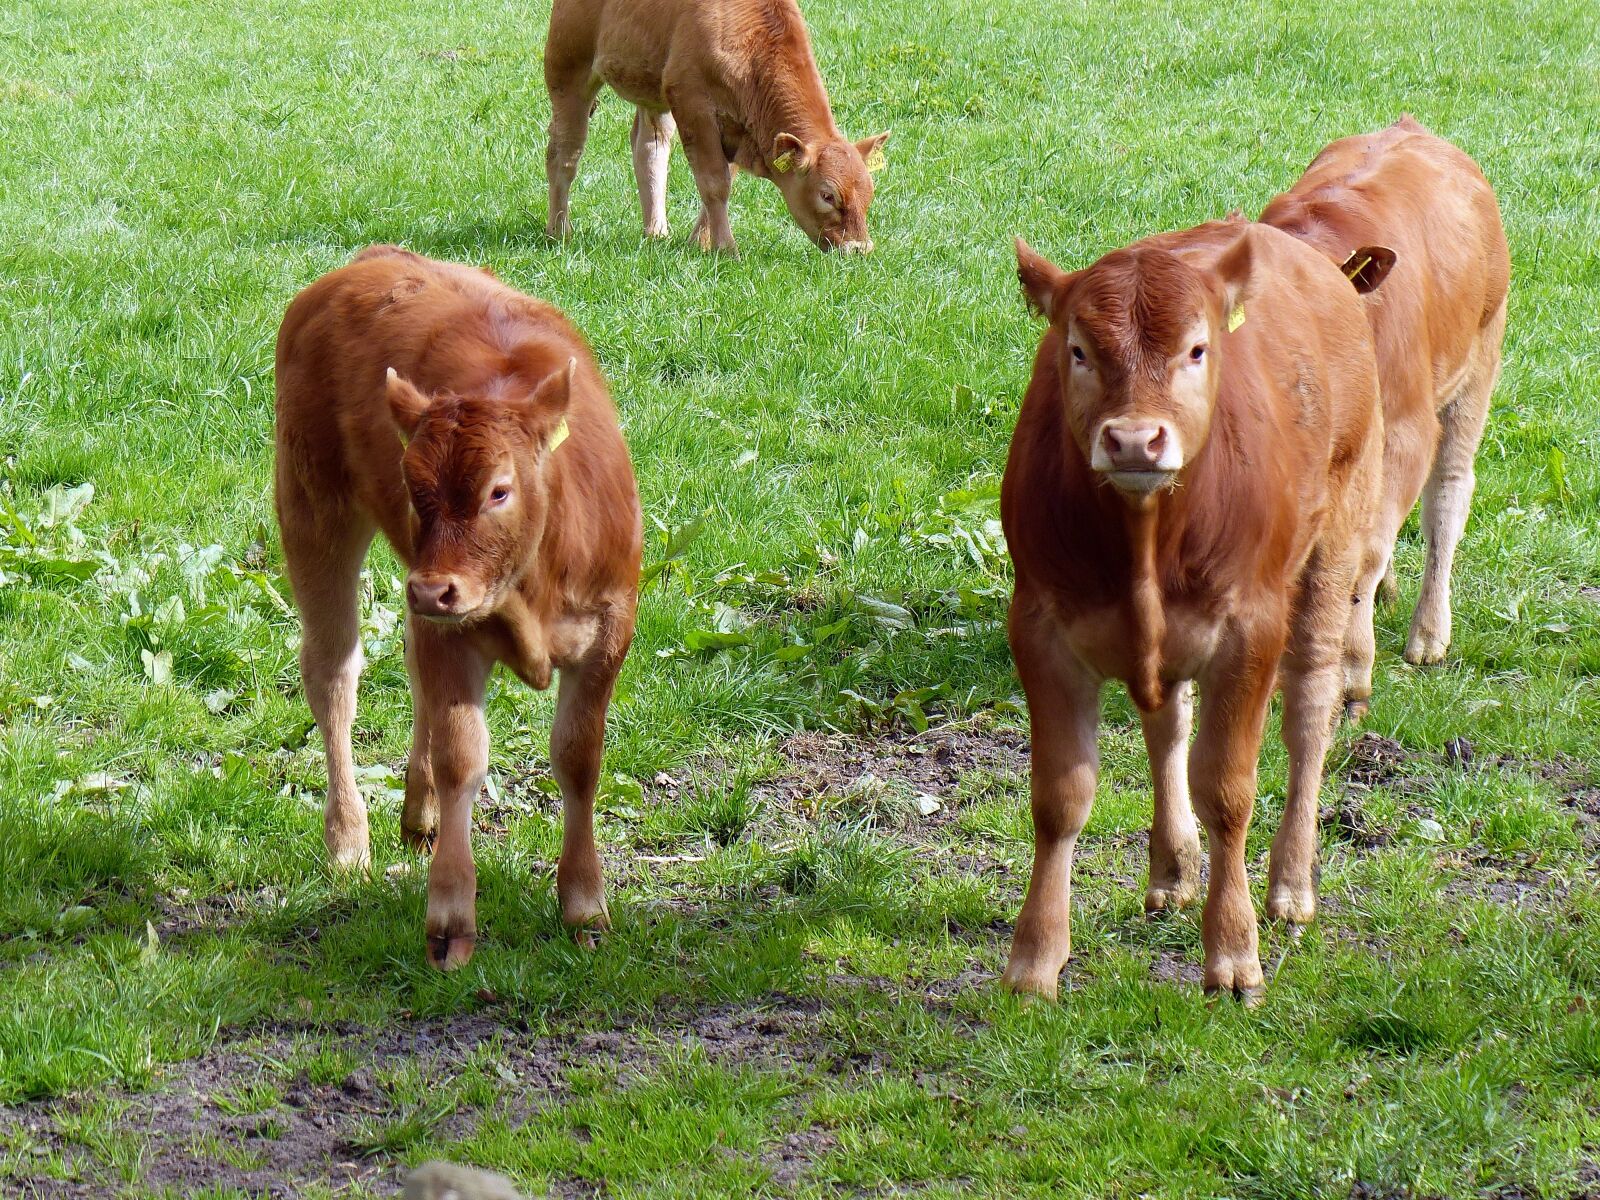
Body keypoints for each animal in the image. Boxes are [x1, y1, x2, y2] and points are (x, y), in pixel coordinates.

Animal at [274, 245, 643, 970]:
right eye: (411, 486)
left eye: (499, 490)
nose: (431, 588)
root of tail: (371, 259)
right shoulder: (452, 634)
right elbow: (461, 760)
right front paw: (450, 917)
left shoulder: (609, 631)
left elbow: (578, 759)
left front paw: (585, 906)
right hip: (313, 508)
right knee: (333, 675)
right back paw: (348, 840)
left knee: (410, 668)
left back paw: (418, 816)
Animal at [544, 0, 890, 253]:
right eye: (827, 195)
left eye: (869, 192)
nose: (860, 248)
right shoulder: (693, 104)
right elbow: (714, 182)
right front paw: (726, 248)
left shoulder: (740, 128)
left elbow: (724, 180)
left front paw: (700, 242)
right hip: (568, 68)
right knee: (564, 152)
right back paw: (559, 232)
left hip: (652, 92)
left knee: (650, 149)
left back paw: (655, 232)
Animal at [999, 221, 1393, 1001]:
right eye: (1078, 350)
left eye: (1198, 348)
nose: (1133, 439)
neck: (1146, 537)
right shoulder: (1040, 629)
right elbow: (1060, 797)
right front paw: (1035, 957)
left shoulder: (1250, 632)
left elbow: (1227, 792)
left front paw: (1234, 951)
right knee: (1167, 724)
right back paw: (1172, 867)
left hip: (1333, 548)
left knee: (1310, 710)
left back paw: (1290, 882)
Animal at [1259, 116, 1509, 711]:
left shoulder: (1407, 431)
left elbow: (1367, 553)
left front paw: (1350, 671)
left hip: (1477, 368)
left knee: (1447, 496)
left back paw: (1428, 634)